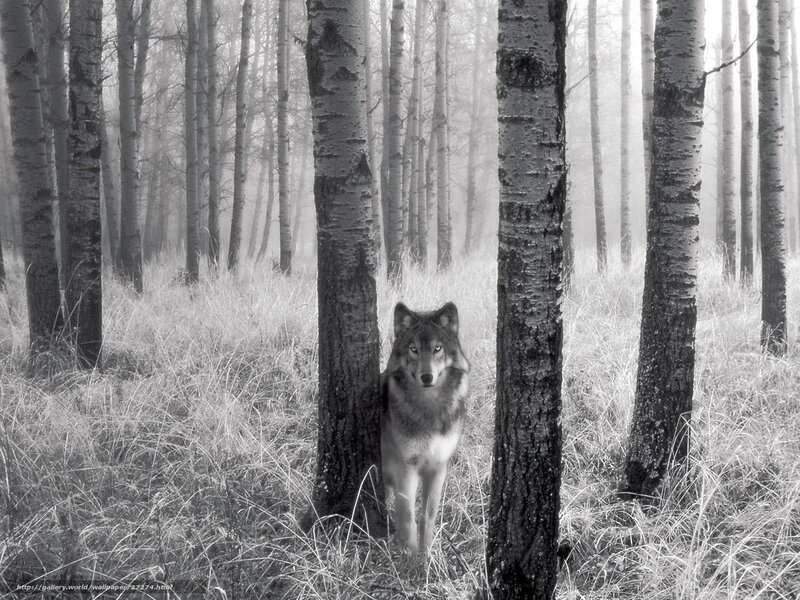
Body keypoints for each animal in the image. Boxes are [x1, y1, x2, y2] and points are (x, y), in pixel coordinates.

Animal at [381, 301, 470, 554]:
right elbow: (408, 517)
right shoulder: (406, 468)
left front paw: (427, 554)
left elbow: (428, 516)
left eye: (437, 348)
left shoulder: (438, 467)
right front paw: (411, 558)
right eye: (414, 350)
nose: (427, 376)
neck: (429, 409)